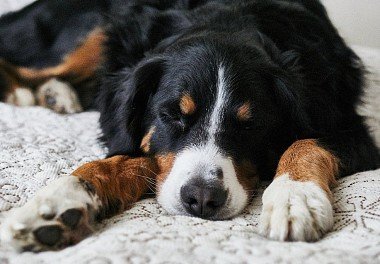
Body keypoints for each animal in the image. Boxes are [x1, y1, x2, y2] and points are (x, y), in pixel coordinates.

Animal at [0, 0, 380, 253]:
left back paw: (55, 94)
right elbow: (125, 158)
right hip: (90, 33)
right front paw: (58, 201)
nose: (202, 198)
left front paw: (294, 196)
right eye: (172, 115)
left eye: (249, 125)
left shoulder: (350, 128)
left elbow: (306, 144)